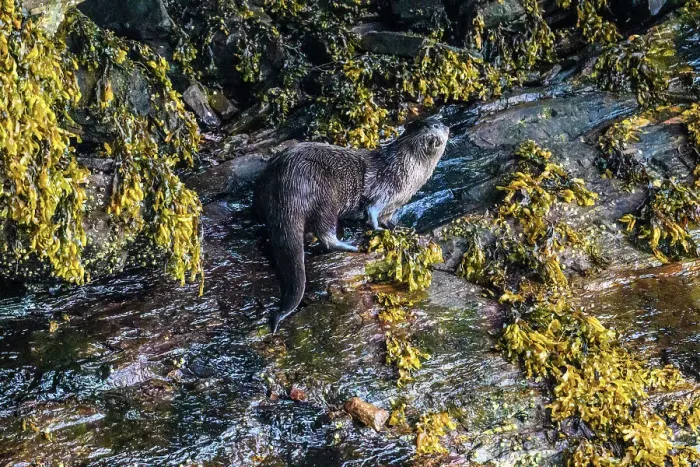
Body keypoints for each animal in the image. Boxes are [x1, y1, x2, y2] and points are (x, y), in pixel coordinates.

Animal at [253, 119, 450, 332]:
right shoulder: (384, 188)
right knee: (325, 232)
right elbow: (372, 211)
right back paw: (351, 245)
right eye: (421, 125)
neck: (406, 172)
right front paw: (378, 230)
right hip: (324, 191)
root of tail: (284, 181)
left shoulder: (392, 206)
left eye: (439, 124)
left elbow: (389, 220)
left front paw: (402, 229)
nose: (433, 126)